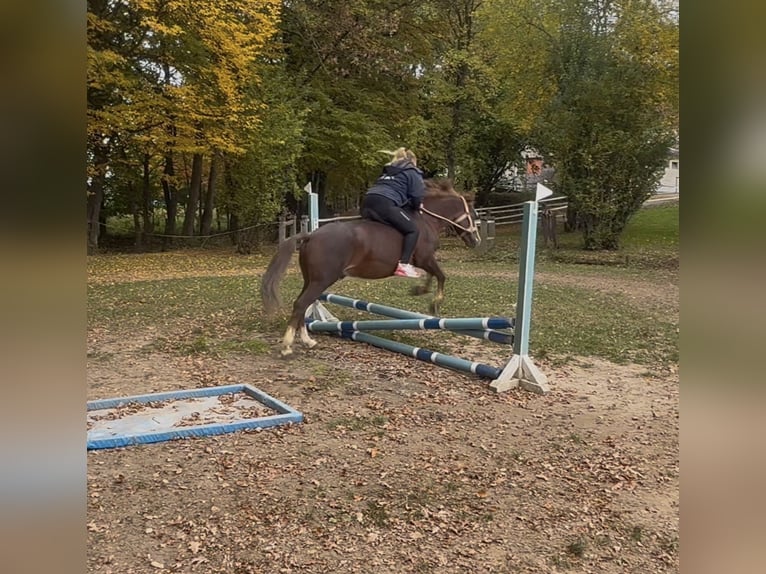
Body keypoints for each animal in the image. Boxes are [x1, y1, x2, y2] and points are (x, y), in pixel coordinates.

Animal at [261, 178, 481, 356]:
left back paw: (308, 341)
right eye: (473, 213)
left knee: (302, 304)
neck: (426, 220)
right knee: (301, 304)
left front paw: (420, 290)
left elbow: (432, 276)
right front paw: (434, 303)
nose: (476, 241)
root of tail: (311, 235)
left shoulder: (424, 260)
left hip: (312, 280)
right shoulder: (425, 258)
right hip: (322, 280)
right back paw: (287, 346)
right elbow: (441, 275)